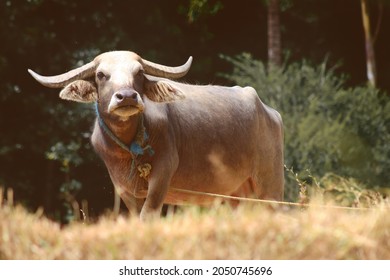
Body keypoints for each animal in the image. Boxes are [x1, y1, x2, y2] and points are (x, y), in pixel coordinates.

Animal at [28, 51, 284, 220]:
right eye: (101, 74)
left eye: (139, 72)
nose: (127, 96)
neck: (130, 146)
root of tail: (270, 112)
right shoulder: (122, 186)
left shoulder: (162, 175)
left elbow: (147, 216)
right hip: (237, 195)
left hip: (270, 186)